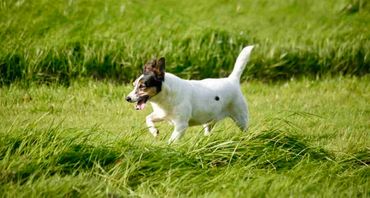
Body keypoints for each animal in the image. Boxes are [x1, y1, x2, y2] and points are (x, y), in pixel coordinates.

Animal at [125, 45, 253, 143]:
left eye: (142, 86)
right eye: (134, 84)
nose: (127, 98)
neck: (166, 97)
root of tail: (232, 80)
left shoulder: (181, 125)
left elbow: (171, 141)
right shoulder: (161, 114)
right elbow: (148, 118)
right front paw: (154, 131)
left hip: (241, 118)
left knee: (246, 129)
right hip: (209, 121)